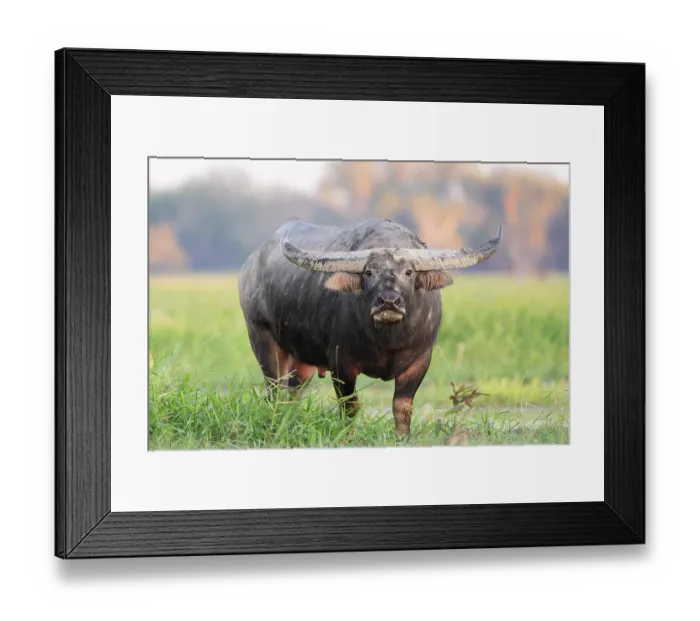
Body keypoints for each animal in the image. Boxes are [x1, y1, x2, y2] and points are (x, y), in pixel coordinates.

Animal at [238, 217, 502, 439]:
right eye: (368, 272)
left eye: (409, 272)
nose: (388, 301)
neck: (387, 341)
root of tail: (250, 266)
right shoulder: (341, 364)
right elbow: (350, 406)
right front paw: (348, 437)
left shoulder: (420, 362)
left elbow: (402, 408)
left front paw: (402, 439)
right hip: (262, 338)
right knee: (274, 391)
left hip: (301, 361)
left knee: (292, 394)